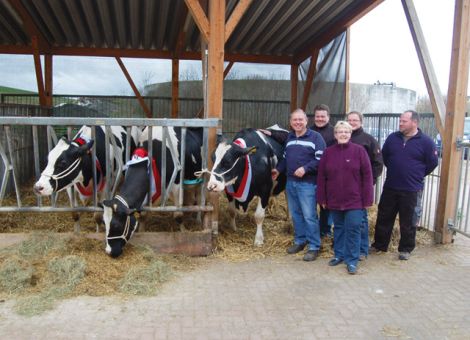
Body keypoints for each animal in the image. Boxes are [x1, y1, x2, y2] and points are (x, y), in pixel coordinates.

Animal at [102, 126, 203, 256]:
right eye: (104, 223)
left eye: (116, 225)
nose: (109, 251)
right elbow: (143, 216)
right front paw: (142, 232)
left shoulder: (176, 185)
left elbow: (178, 215)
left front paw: (184, 232)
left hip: (200, 179)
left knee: (199, 199)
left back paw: (198, 220)